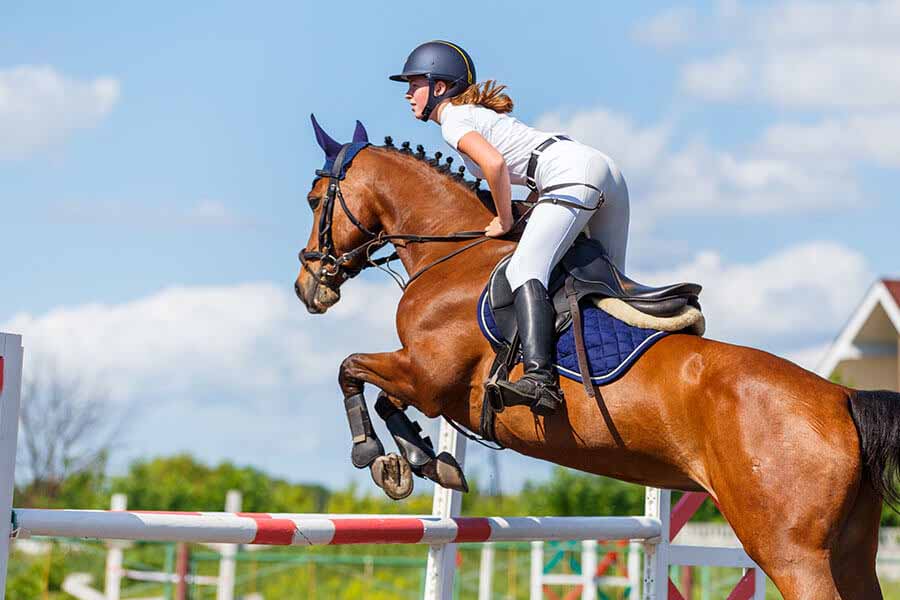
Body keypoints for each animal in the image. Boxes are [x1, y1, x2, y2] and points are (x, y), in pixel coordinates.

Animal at [294, 118, 892, 600]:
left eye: (314, 199)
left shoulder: (429, 376)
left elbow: (351, 369)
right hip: (851, 554)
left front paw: (377, 456)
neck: (453, 251)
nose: (308, 286)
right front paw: (421, 461)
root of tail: (842, 397)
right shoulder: (427, 381)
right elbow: (386, 397)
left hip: (790, 552)